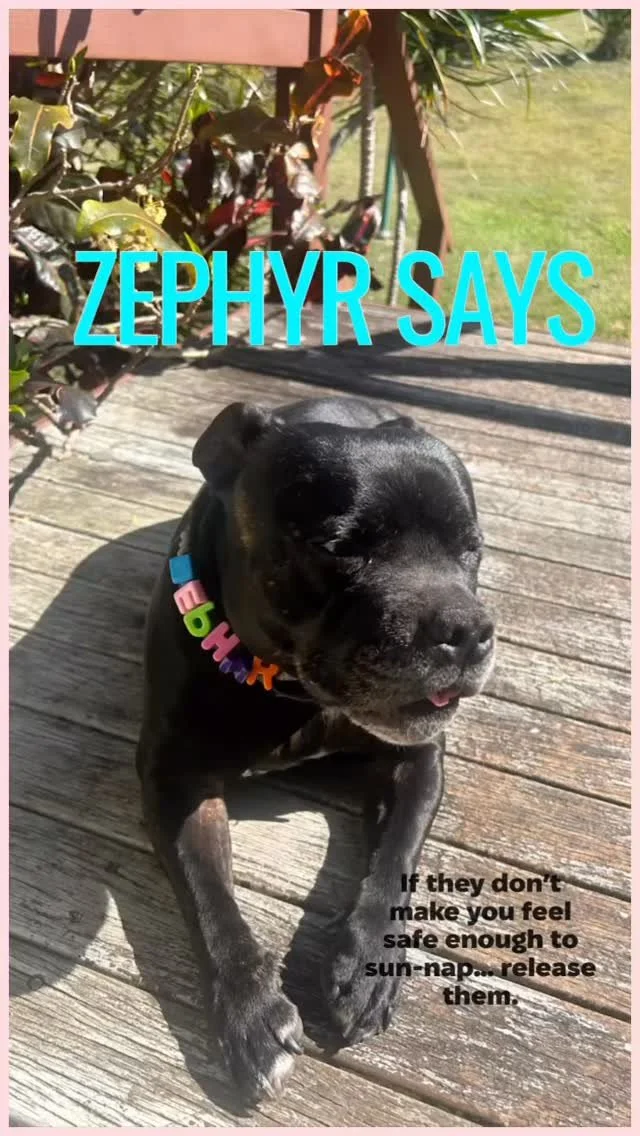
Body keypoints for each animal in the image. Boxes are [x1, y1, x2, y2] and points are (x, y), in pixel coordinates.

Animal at [136, 395, 495, 1104]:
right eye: (338, 547)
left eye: (473, 550)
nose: (467, 631)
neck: (293, 691)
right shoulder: (175, 782)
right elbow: (209, 897)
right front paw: (249, 1011)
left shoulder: (417, 761)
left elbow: (395, 859)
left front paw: (366, 964)